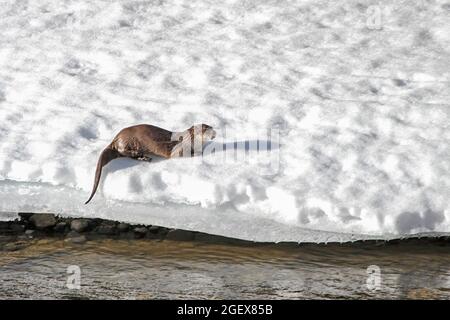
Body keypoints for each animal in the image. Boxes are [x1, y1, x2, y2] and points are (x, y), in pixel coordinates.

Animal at [86, 124, 218, 204]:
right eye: (206, 129)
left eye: (211, 127)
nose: (214, 132)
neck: (189, 140)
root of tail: (116, 137)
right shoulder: (176, 149)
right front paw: (198, 153)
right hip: (128, 141)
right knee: (123, 151)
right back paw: (142, 156)